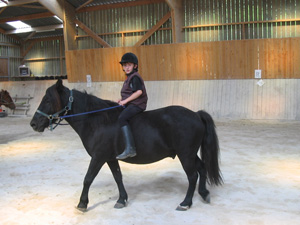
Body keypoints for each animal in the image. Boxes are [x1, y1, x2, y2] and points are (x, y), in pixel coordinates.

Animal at [30, 79, 223, 211]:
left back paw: (186, 203)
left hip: (185, 154)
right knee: (202, 169)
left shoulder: (98, 157)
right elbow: (118, 177)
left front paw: (82, 203)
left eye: (48, 100)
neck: (96, 121)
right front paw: (122, 199)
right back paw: (204, 193)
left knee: (192, 176)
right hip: (189, 154)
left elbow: (88, 178)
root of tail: (196, 114)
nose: (33, 124)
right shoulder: (110, 158)